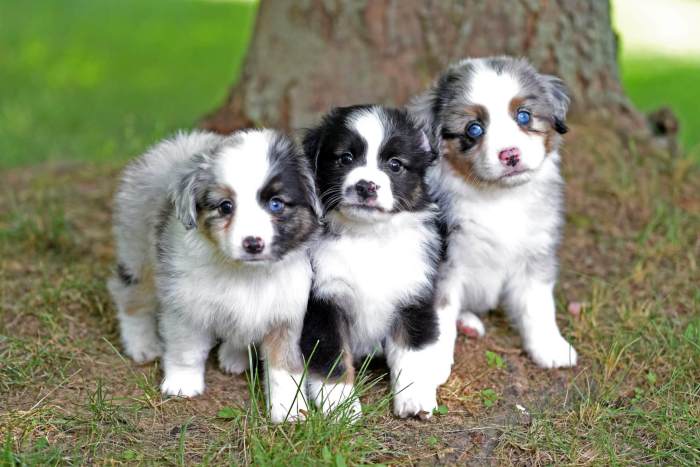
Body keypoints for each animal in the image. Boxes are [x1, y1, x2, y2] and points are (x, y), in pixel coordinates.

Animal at [300, 106, 442, 420]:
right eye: (345, 158)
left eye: (395, 164)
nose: (366, 186)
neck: (368, 236)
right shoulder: (322, 302)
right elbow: (331, 357)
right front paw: (339, 406)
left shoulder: (413, 295)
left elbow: (412, 350)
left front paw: (414, 397)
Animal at [408, 55, 576, 370]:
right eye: (474, 129)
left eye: (524, 116)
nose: (510, 155)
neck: (500, 198)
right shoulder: (445, 262)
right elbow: (440, 311)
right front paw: (430, 364)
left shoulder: (536, 253)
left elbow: (539, 305)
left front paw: (550, 347)